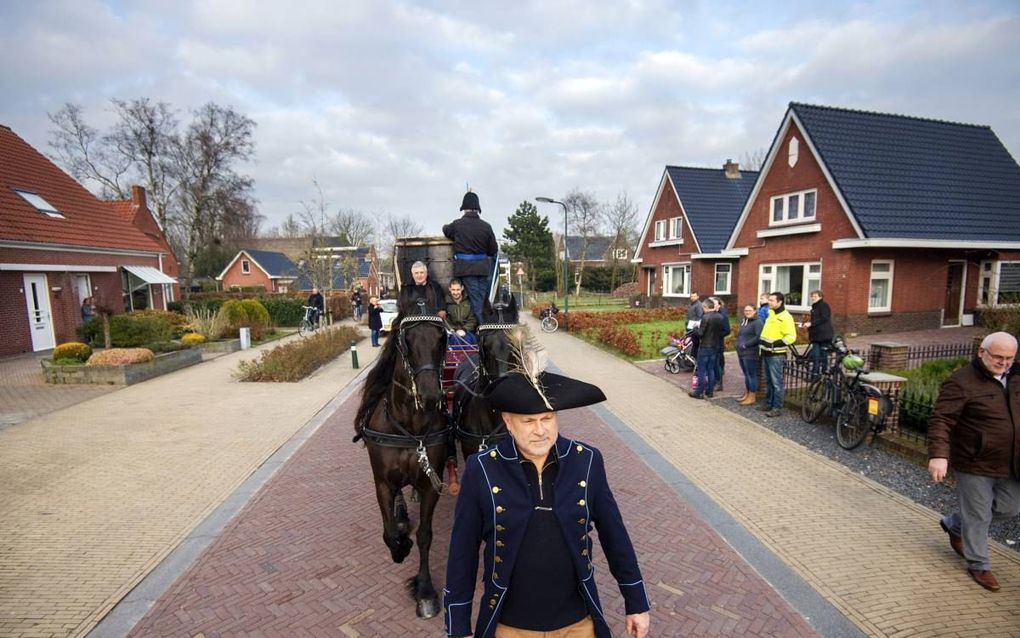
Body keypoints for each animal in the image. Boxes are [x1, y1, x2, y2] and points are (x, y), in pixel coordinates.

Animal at [352, 308, 448, 616]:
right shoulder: (382, 482)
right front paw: (401, 546)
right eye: (405, 340)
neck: (410, 426)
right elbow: (390, 532)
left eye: (441, 338)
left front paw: (425, 591)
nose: (431, 396)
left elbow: (425, 536)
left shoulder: (432, 484)